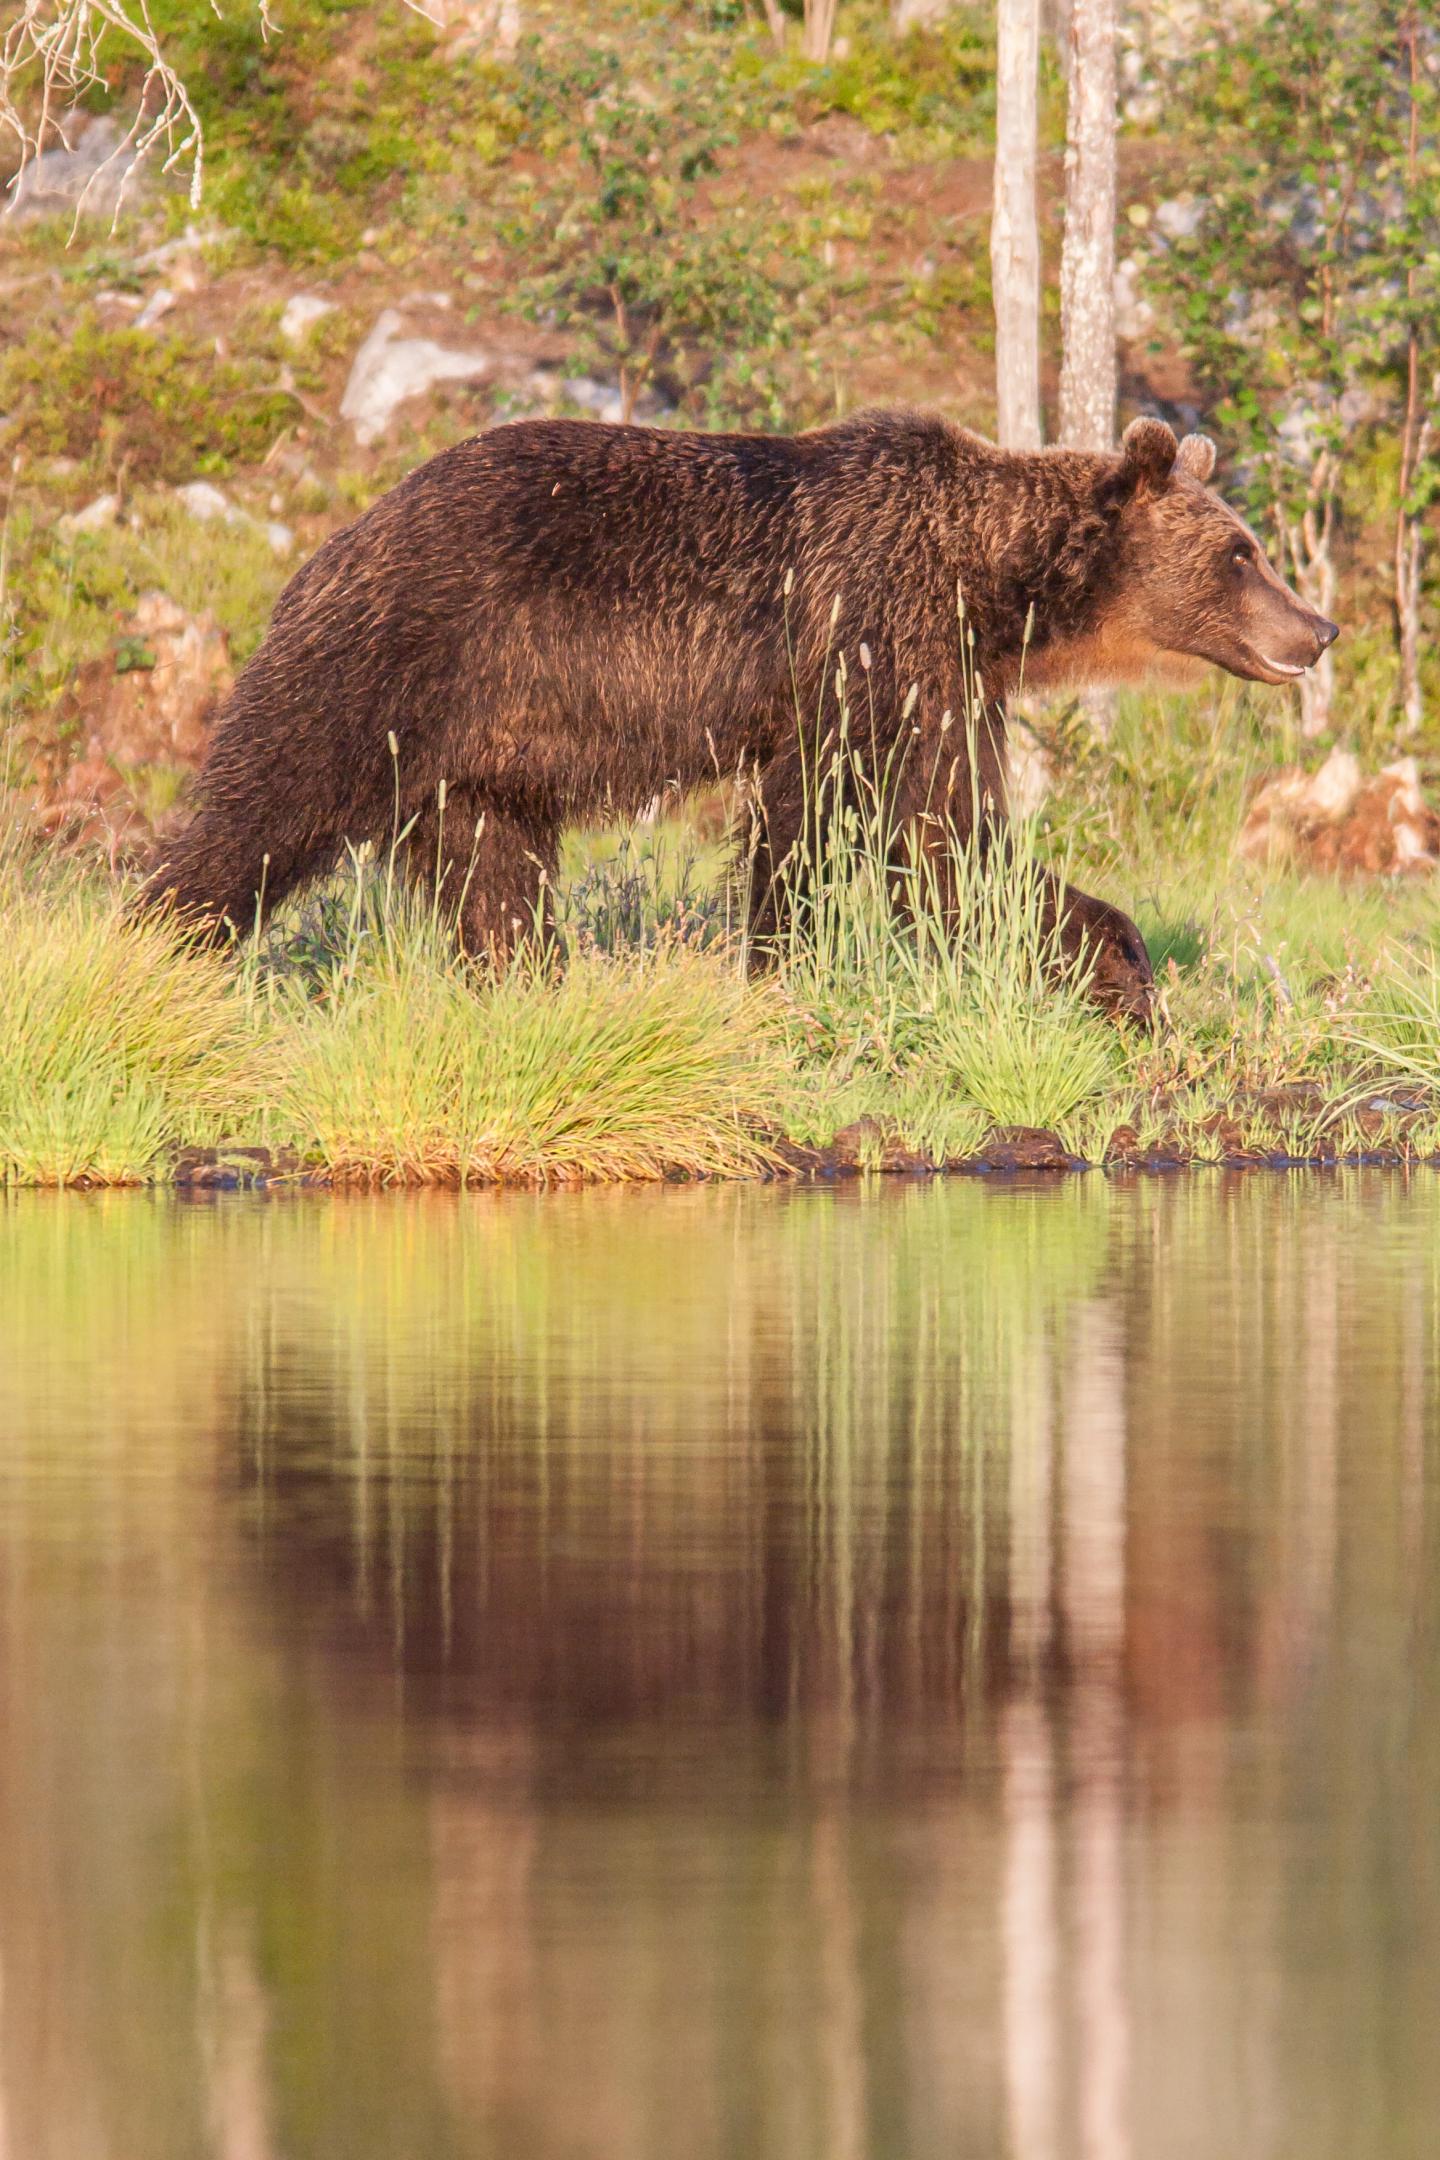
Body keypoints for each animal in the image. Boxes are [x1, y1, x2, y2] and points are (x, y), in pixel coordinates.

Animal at [140, 408, 1338, 1006]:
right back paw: (158, 947)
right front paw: (780, 966)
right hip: (389, 659)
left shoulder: (945, 676)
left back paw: (528, 983)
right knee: (265, 804)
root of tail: (337, 538)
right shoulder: (866, 642)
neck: (993, 581)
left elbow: (943, 837)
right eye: (1242, 553)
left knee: (494, 873)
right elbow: (861, 828)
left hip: (480, 754)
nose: (1319, 628)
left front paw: (1108, 962)